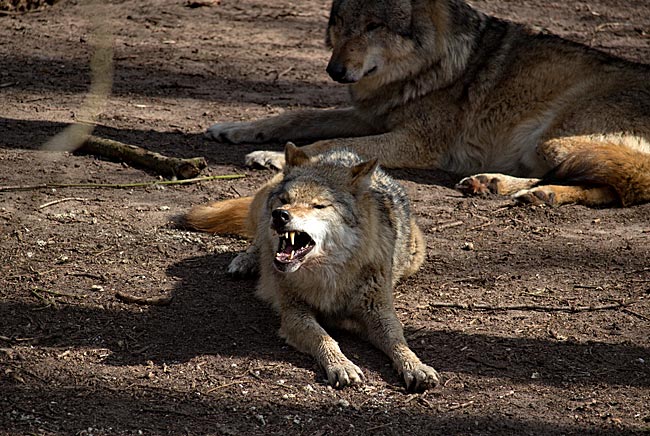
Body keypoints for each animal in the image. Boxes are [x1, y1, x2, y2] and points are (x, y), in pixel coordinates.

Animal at [185, 144, 438, 392]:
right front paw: (342, 365)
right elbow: (323, 337)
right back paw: (246, 261)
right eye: (285, 199)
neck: (329, 276)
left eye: (319, 206)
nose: (280, 215)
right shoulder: (294, 312)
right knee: (259, 239)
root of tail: (336, 152)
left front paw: (416, 366)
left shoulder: (379, 311)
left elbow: (397, 340)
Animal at [205, 0, 648, 207]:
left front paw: (273, 156)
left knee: (628, 183)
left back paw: (532, 192)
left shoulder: (415, 143)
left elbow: (330, 145)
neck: (433, 65)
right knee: (608, 184)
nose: (335, 70)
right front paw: (238, 130)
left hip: (551, 141)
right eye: (340, 23)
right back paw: (499, 185)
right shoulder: (370, 117)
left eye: (374, 26)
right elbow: (298, 116)